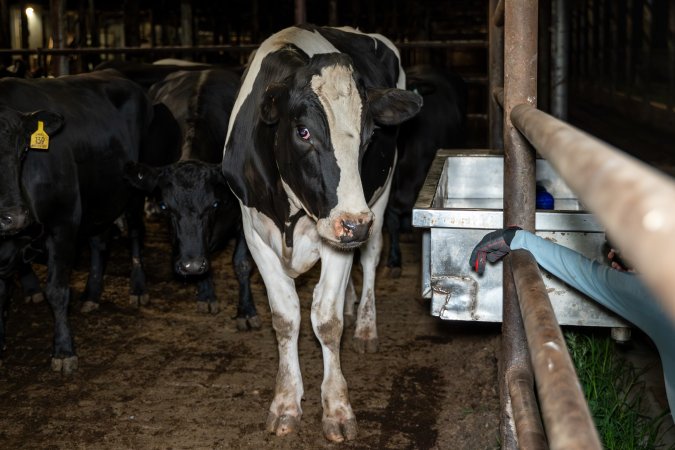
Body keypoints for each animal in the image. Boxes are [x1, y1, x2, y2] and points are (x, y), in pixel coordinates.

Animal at [0, 69, 157, 372]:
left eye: (24, 151)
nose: (15, 218)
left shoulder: (64, 224)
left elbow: (57, 290)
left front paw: (63, 351)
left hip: (135, 187)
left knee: (135, 232)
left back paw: (138, 287)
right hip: (99, 197)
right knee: (100, 242)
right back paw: (92, 294)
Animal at [123, 69, 260, 330]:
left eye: (214, 204)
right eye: (165, 206)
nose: (192, 266)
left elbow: (242, 262)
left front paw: (247, 311)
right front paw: (206, 294)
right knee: (135, 230)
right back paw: (138, 287)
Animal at [222, 25, 422, 442]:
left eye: (368, 137)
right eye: (303, 132)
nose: (355, 222)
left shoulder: (342, 230)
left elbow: (327, 321)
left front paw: (337, 408)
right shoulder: (253, 230)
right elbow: (285, 318)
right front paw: (285, 403)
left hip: (379, 197)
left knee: (371, 259)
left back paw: (365, 327)